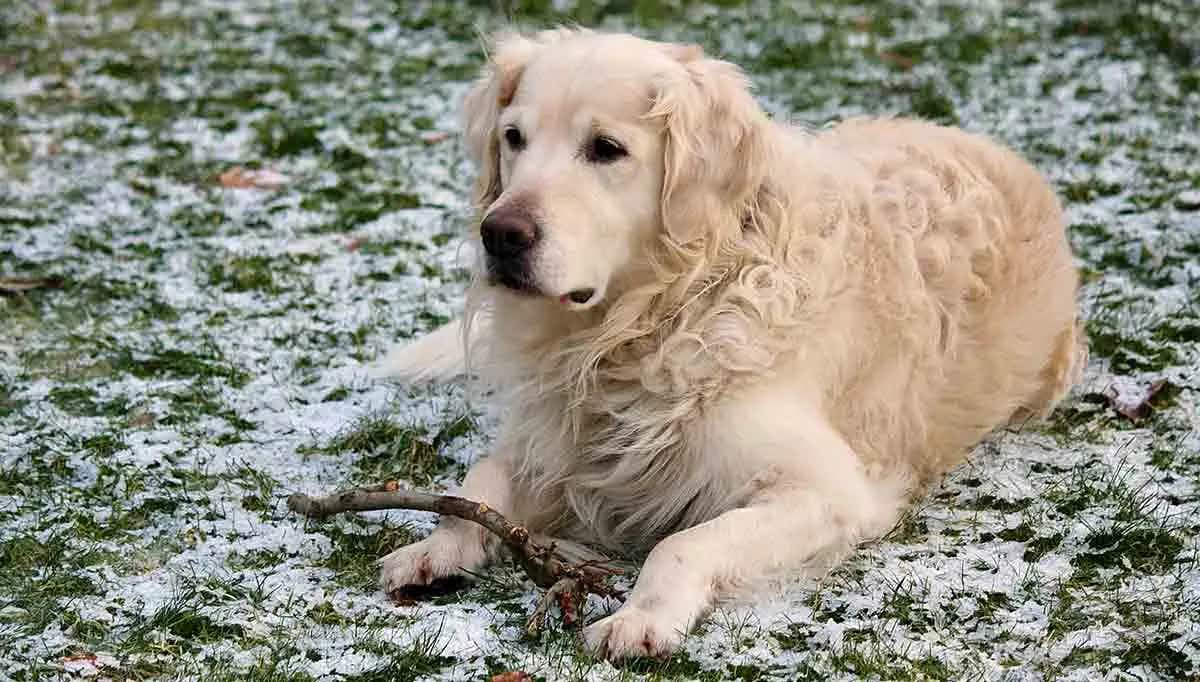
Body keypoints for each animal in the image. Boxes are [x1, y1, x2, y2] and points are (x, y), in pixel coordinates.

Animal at [369, 27, 1084, 662]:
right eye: (513, 138)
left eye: (606, 148)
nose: (499, 235)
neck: (653, 318)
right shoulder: (560, 438)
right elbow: (481, 481)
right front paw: (437, 548)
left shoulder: (827, 491)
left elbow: (682, 543)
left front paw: (641, 619)